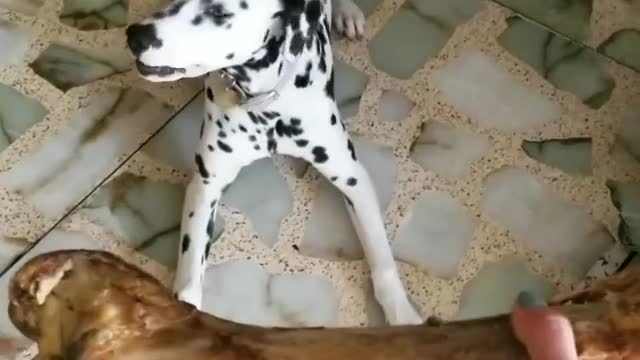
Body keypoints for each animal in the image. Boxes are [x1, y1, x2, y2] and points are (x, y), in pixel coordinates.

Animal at [127, 0, 422, 324]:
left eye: (219, 12)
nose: (134, 35)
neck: (266, 104)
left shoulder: (353, 178)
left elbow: (383, 262)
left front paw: (403, 317)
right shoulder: (205, 186)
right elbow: (190, 278)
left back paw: (348, 12)